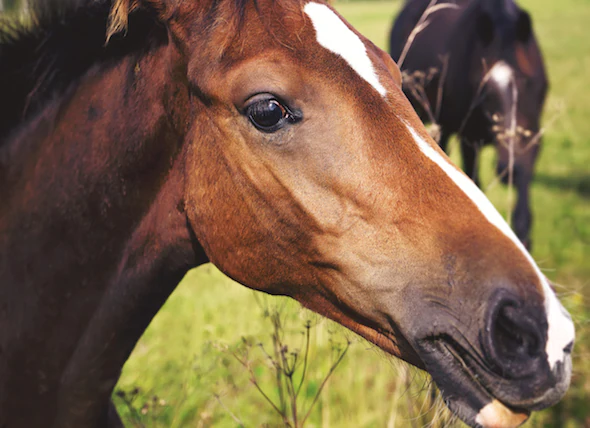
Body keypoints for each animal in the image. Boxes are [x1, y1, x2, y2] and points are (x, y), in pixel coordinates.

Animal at [394, 0, 552, 249]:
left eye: (527, 80)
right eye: (485, 87)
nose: (507, 166)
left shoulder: (531, 137)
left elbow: (523, 184)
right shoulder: (470, 141)